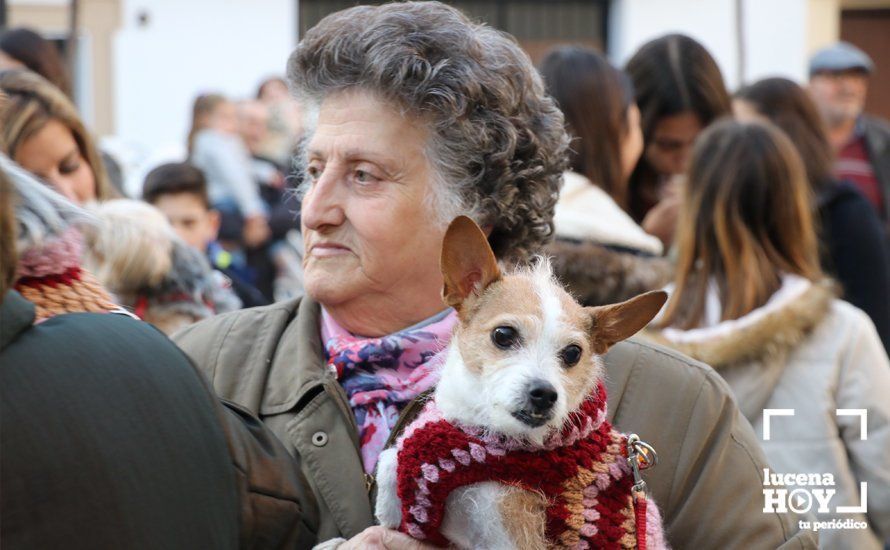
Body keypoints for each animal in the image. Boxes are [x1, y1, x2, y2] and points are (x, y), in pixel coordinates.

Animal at [372, 218, 664, 548]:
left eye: (573, 353)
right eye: (503, 335)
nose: (545, 394)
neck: (483, 427)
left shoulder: (513, 531)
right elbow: (391, 455)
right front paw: (388, 507)